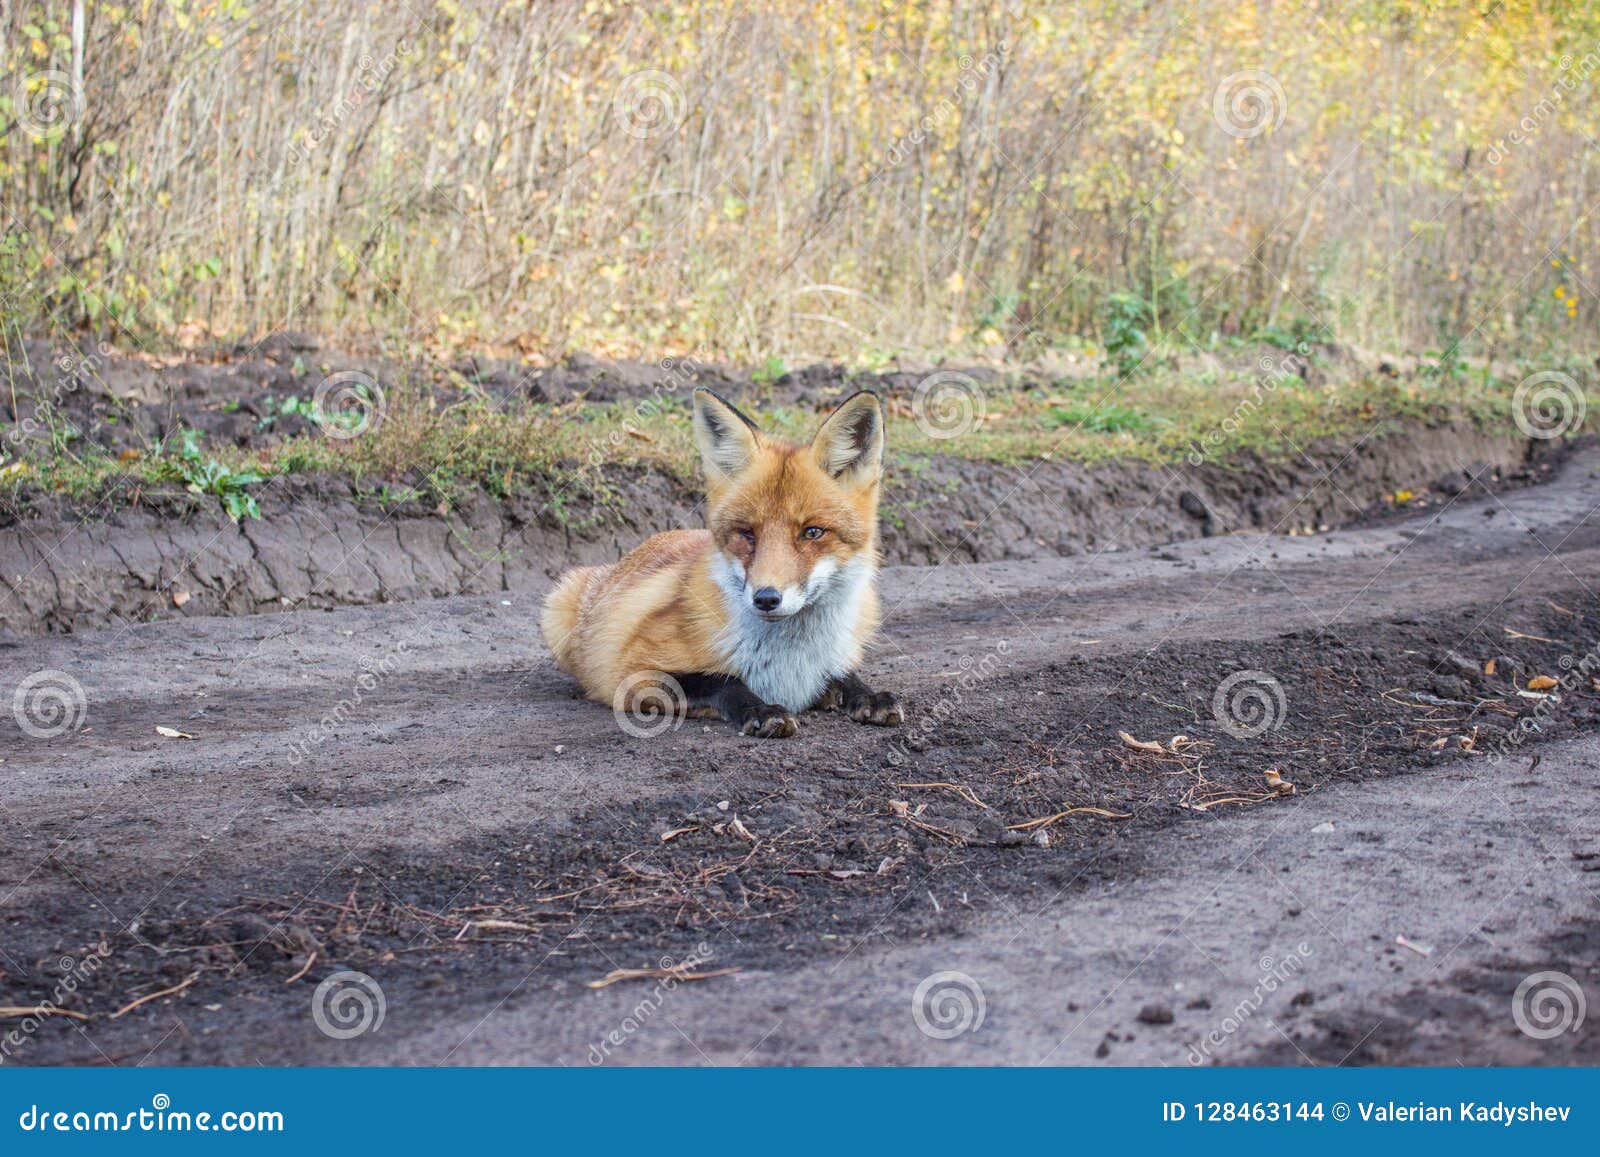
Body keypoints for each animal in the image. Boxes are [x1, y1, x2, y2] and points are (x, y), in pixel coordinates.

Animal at [541, 387, 903, 739]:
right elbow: (720, 680)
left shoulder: (838, 657)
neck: (789, 662)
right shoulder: (628, 671)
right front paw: (760, 709)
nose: (766, 598)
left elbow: (845, 674)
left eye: (812, 532)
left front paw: (867, 695)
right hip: (557, 609)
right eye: (746, 533)